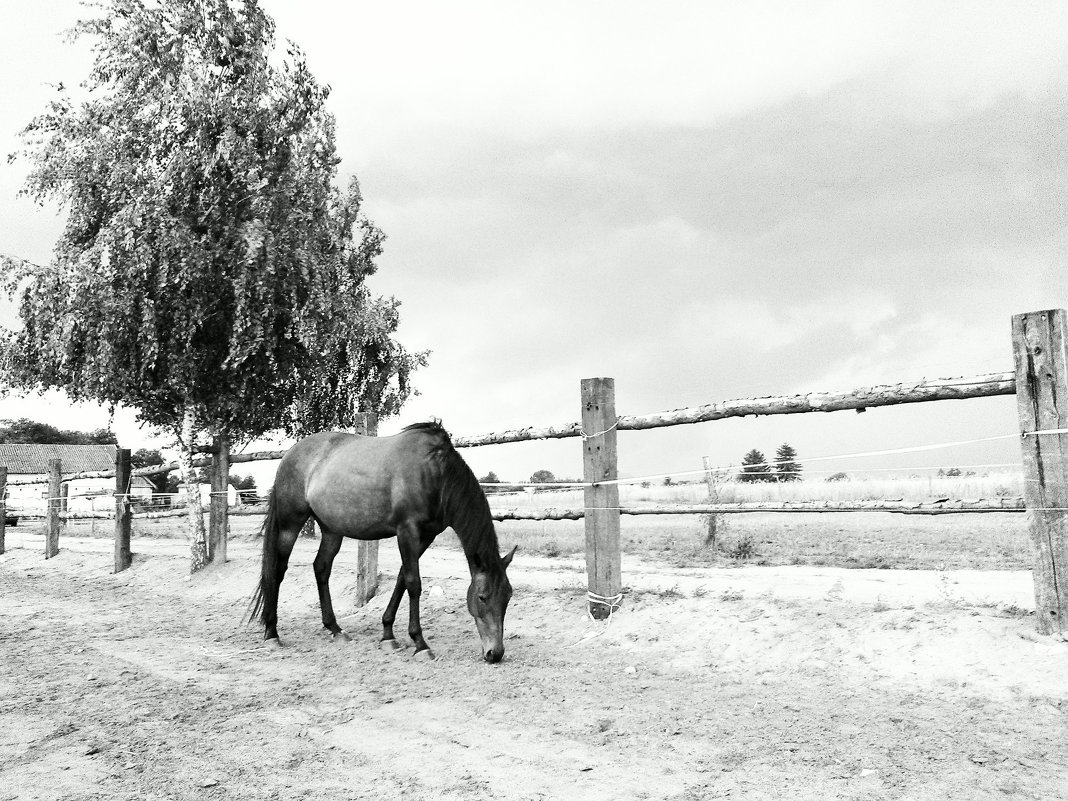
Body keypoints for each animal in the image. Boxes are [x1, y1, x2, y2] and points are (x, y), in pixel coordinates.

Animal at [249, 422, 516, 662]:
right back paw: (272, 633)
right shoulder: (406, 531)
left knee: (321, 568)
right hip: (290, 524)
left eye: (508, 597)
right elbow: (414, 583)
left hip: (331, 530)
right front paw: (420, 644)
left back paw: (335, 629)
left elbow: (401, 580)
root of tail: (290, 454)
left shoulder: (426, 536)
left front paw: (388, 635)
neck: (435, 474)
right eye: (482, 597)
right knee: (277, 570)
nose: (495, 653)